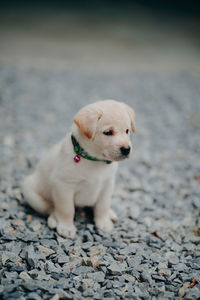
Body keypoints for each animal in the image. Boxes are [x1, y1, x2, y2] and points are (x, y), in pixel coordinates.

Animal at [23, 99, 136, 238]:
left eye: (127, 131)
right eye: (108, 132)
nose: (126, 149)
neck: (95, 160)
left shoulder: (107, 184)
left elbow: (102, 205)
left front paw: (103, 222)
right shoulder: (63, 186)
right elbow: (66, 209)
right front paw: (66, 227)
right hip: (31, 192)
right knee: (50, 208)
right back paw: (54, 219)